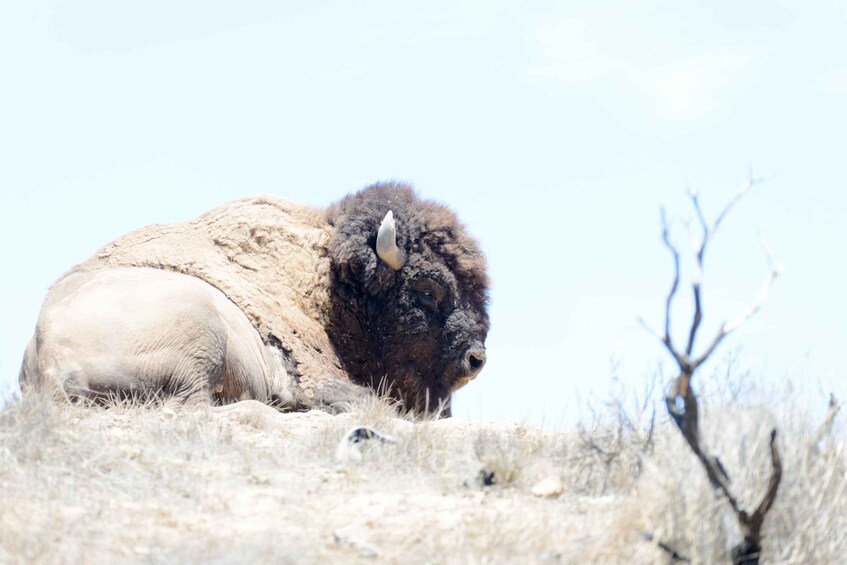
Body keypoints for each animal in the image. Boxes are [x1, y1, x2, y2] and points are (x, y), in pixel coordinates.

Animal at [19, 182, 490, 414]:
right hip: (200, 331)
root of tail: (48, 355)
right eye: (427, 291)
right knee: (194, 406)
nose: (475, 359)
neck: (328, 284)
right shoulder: (315, 372)